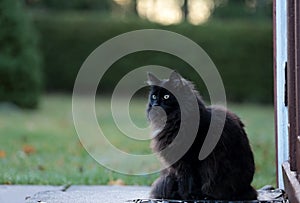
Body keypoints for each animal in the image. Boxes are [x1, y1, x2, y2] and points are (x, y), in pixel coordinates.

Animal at [146, 71, 256, 200]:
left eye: (166, 97)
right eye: (153, 96)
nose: (155, 104)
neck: (173, 122)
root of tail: (249, 188)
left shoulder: (193, 161)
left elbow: (190, 181)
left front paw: (189, 196)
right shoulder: (179, 165)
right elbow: (182, 181)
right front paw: (182, 195)